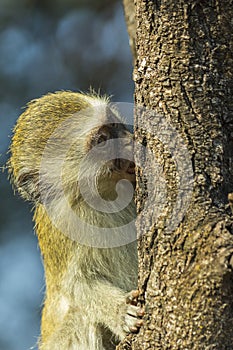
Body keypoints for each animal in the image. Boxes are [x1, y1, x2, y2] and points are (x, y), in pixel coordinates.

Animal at [8, 91, 144, 348]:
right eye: (101, 141)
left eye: (115, 127)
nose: (131, 143)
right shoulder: (65, 222)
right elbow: (78, 285)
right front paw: (120, 312)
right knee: (82, 319)